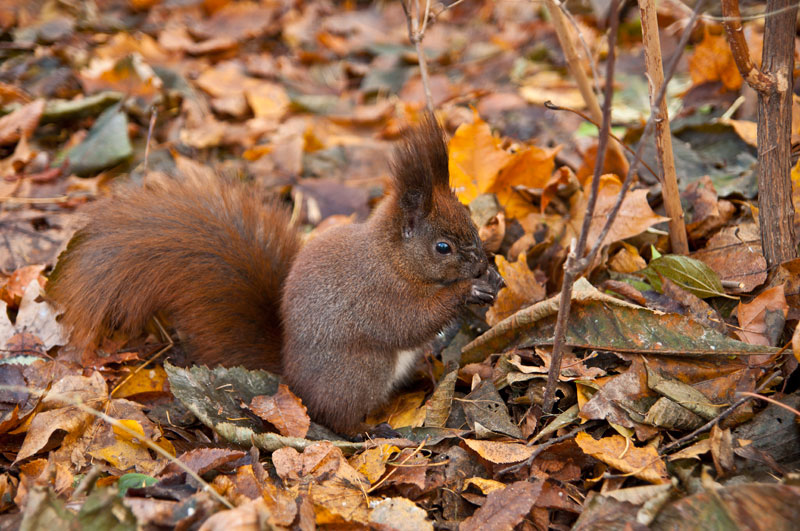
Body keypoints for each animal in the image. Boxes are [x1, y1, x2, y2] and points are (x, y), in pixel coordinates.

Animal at [47, 114, 500, 434]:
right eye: (442, 248)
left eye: (470, 222)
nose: (480, 263)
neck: (393, 260)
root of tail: (292, 378)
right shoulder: (375, 293)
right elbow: (408, 321)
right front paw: (467, 291)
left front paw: (491, 276)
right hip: (359, 374)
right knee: (336, 415)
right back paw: (369, 432)